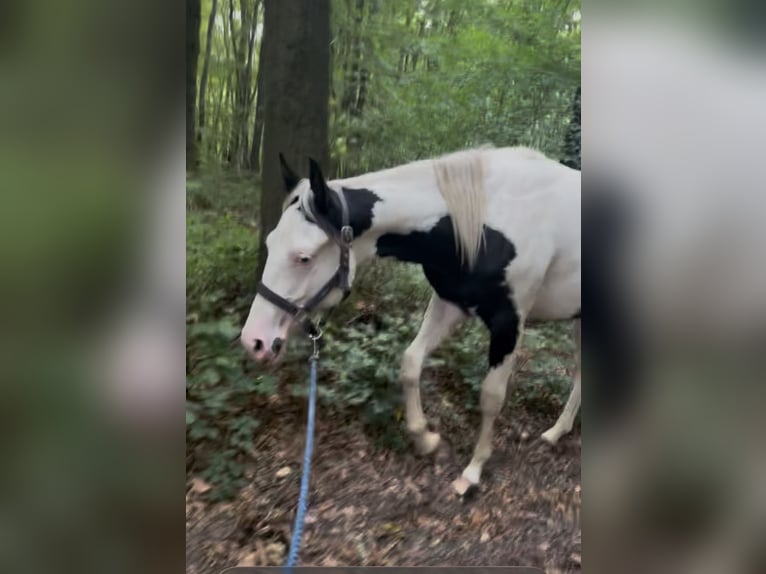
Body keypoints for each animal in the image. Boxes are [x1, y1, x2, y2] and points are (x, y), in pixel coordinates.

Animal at [240, 145, 581, 495]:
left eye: (304, 257)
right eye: (270, 243)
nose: (254, 340)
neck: (487, 216)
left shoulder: (508, 324)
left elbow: (491, 397)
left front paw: (473, 470)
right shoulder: (449, 303)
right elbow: (411, 363)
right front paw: (426, 439)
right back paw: (556, 432)